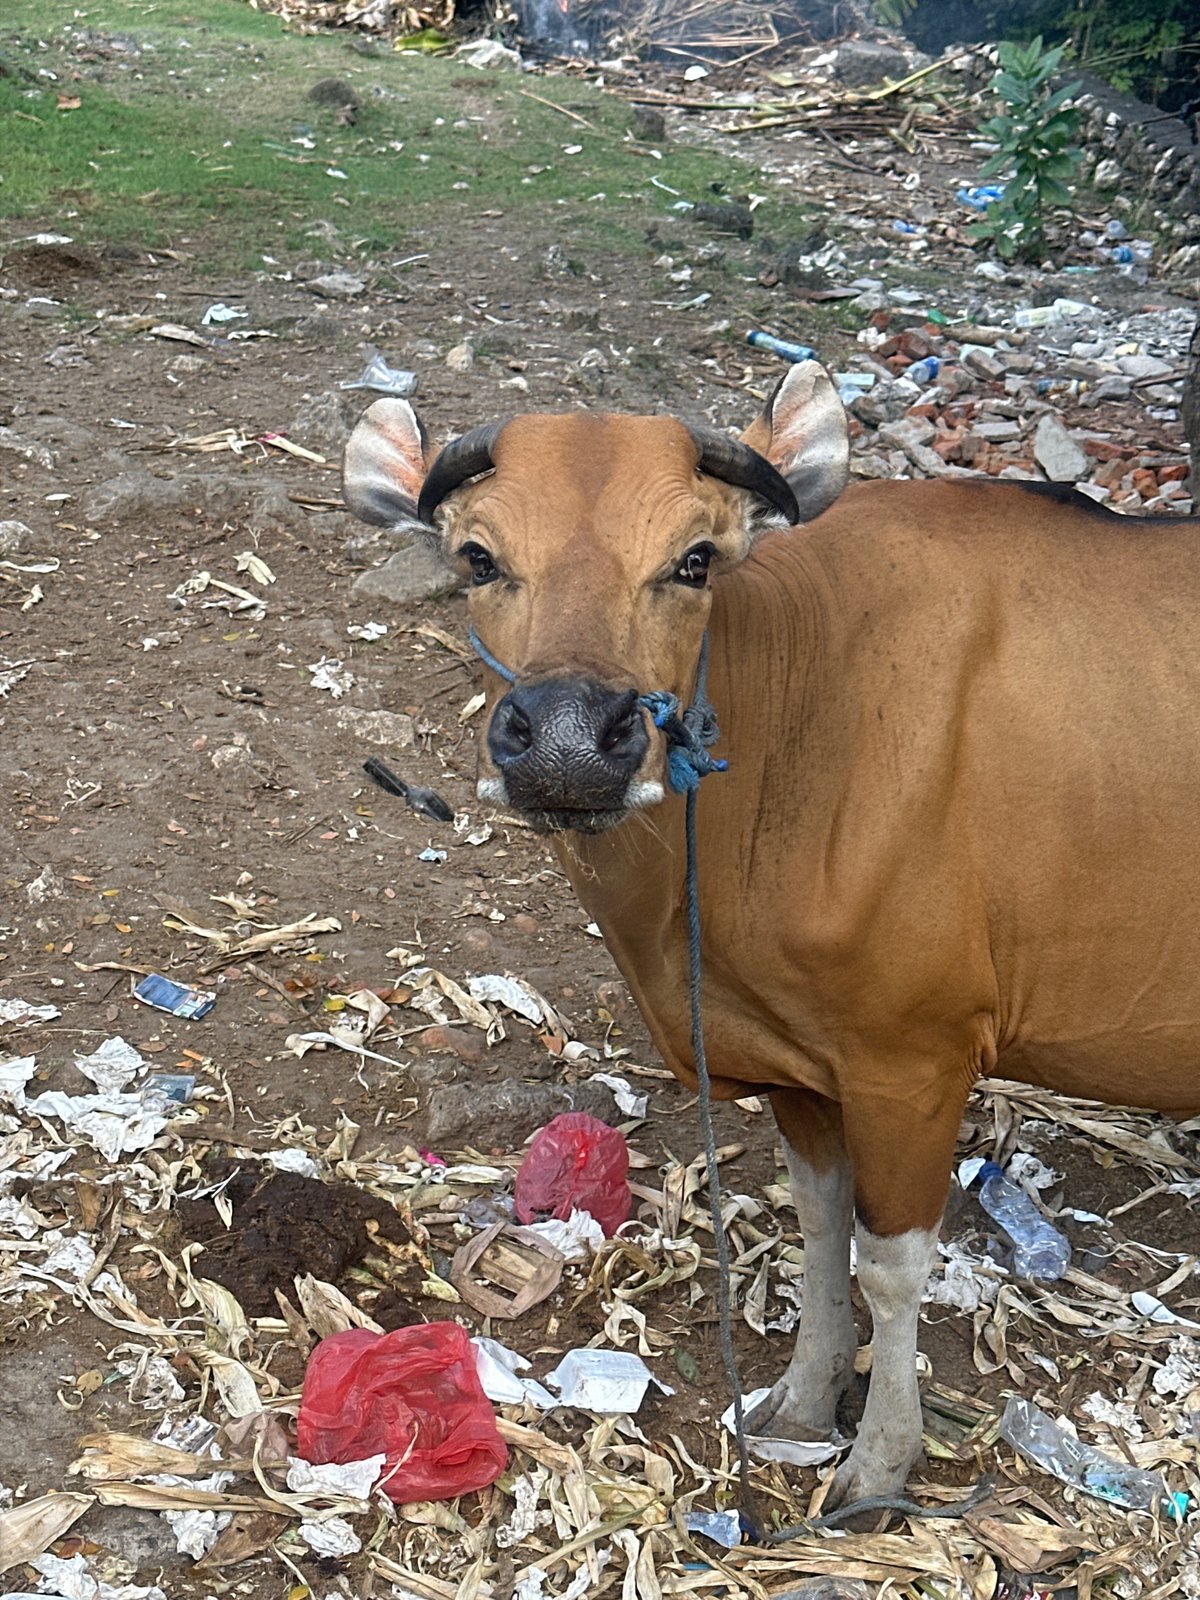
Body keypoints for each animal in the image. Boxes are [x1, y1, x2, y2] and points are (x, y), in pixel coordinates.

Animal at [342, 362, 1200, 1510]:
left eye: (694, 560)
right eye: (478, 557)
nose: (569, 742)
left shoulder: (912, 1061)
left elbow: (892, 1264)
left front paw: (879, 1461)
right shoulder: (803, 1064)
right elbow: (820, 1228)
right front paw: (804, 1401)